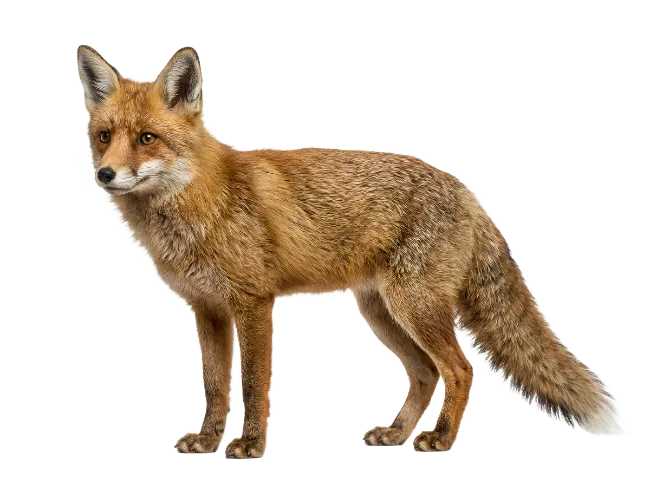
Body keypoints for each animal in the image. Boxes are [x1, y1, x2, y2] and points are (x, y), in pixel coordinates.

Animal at [76, 44, 623, 457]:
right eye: (104, 137)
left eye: (147, 138)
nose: (105, 174)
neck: (198, 204)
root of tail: (467, 192)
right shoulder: (207, 309)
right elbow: (215, 387)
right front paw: (209, 441)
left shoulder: (253, 303)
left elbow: (252, 384)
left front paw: (251, 445)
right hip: (381, 311)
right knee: (426, 374)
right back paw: (398, 433)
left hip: (413, 308)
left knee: (460, 369)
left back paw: (441, 439)